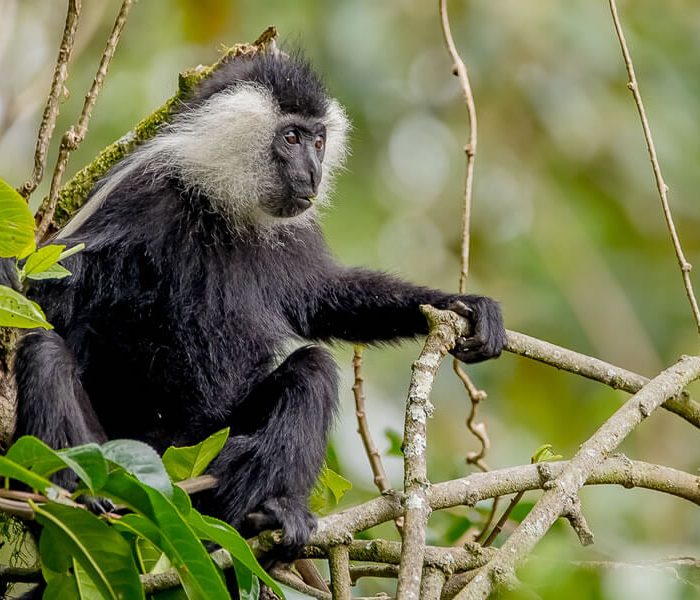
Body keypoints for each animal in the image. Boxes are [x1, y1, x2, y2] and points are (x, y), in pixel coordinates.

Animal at [13, 51, 506, 562]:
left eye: (319, 141)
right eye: (291, 138)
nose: (313, 172)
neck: (220, 201)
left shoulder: (292, 232)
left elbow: (323, 298)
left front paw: (466, 306)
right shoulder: (139, 199)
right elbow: (50, 288)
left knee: (313, 371)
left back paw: (268, 513)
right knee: (45, 353)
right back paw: (78, 496)